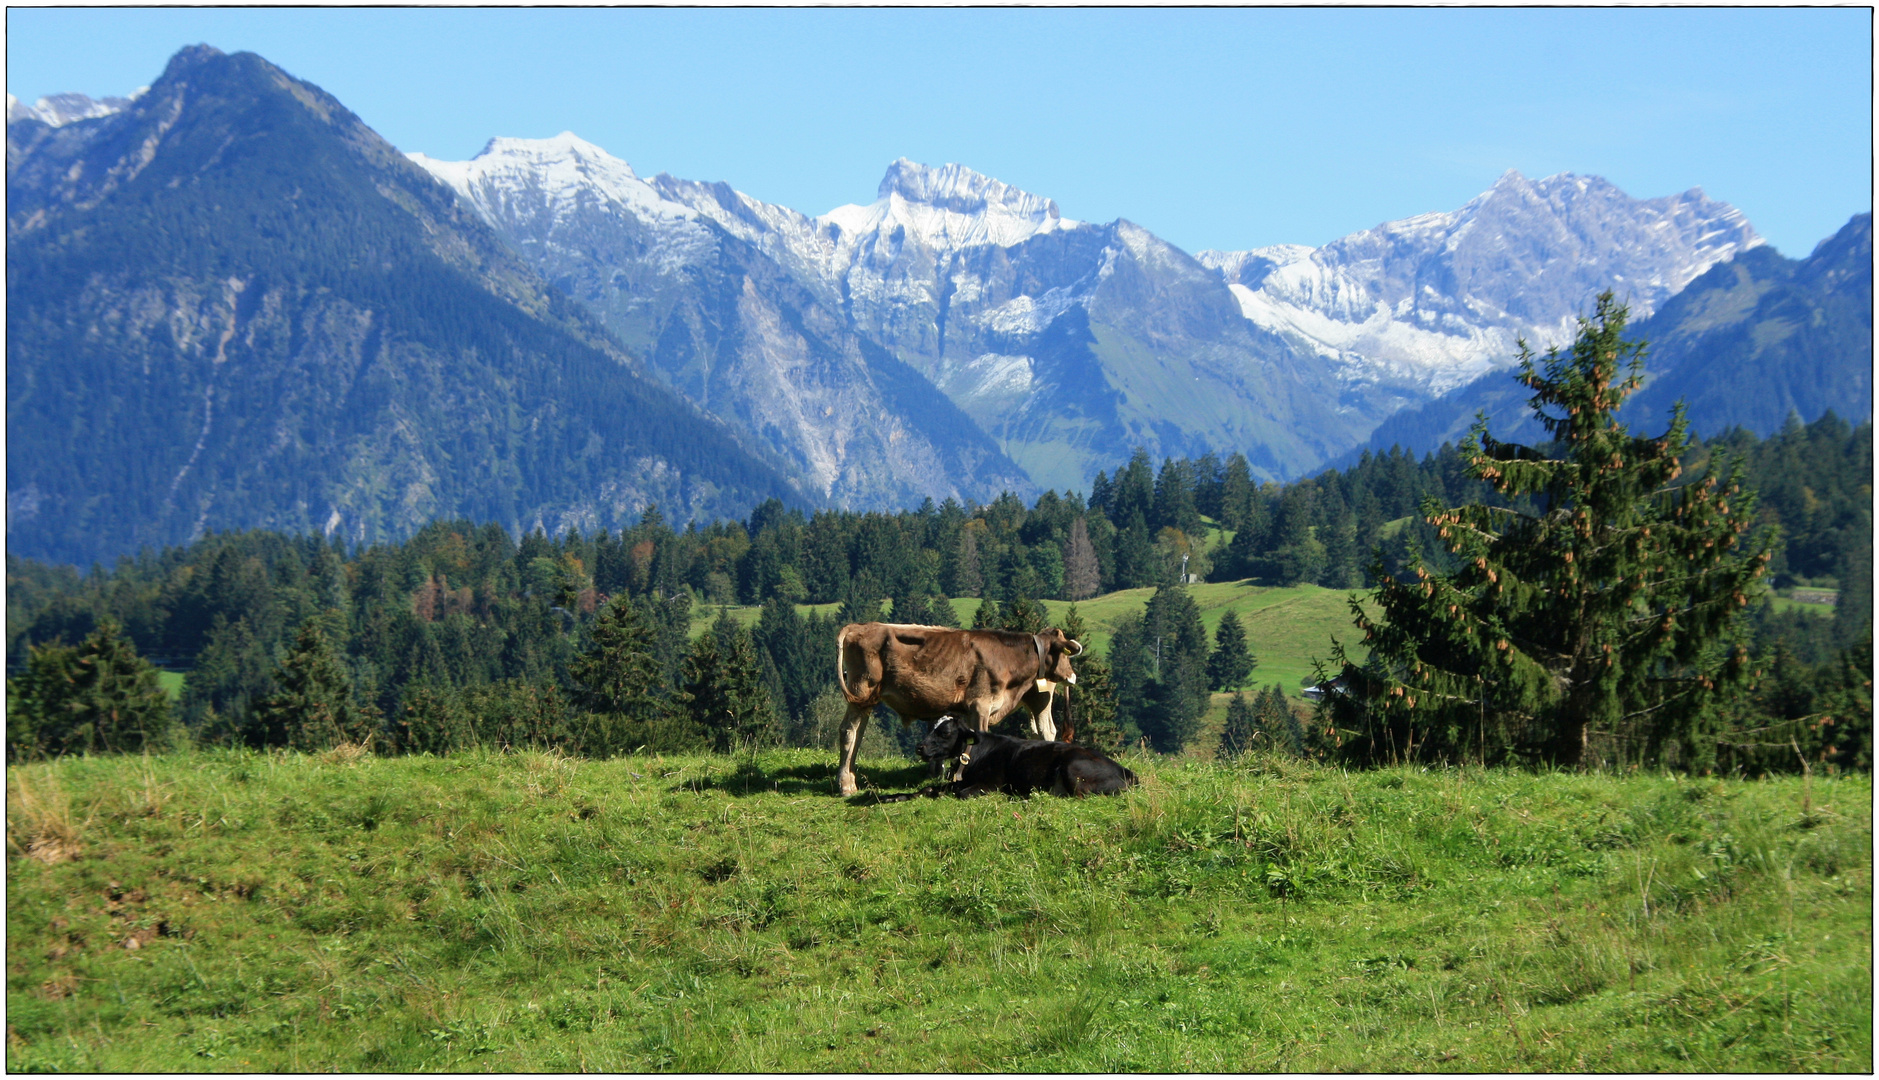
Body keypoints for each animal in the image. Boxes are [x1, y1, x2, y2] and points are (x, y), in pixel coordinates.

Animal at [834, 619, 1082, 800]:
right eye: (1066, 653)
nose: (1072, 676)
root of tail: (860, 626)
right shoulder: (980, 705)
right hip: (861, 689)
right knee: (849, 731)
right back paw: (845, 785)